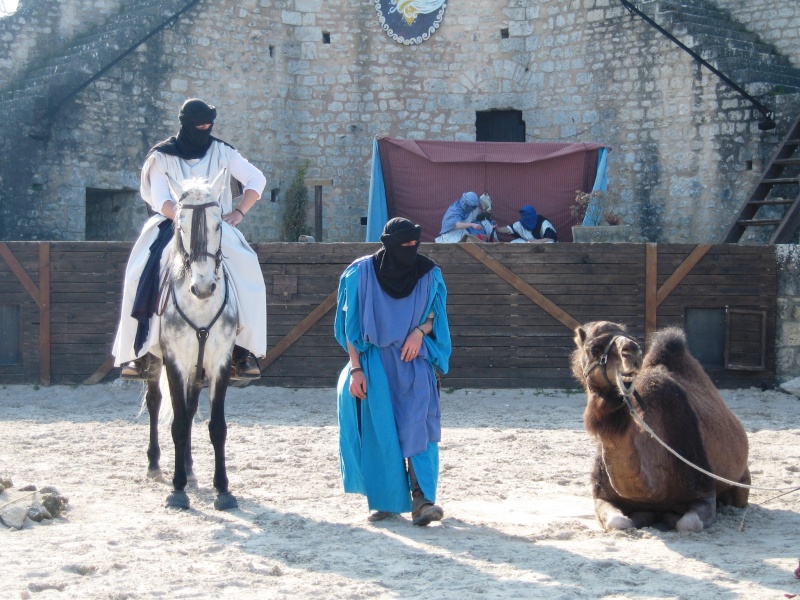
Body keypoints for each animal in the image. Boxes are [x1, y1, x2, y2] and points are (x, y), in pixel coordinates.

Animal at [141, 169, 238, 510]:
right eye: (180, 225)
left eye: (219, 224)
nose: (204, 287)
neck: (200, 306)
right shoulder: (174, 361)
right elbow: (179, 423)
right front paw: (177, 489)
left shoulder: (219, 362)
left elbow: (216, 426)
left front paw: (223, 489)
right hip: (155, 360)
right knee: (156, 402)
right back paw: (155, 464)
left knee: (191, 406)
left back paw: (189, 467)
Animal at [568, 322, 752, 532]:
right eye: (594, 349)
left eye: (632, 338)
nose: (632, 351)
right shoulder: (602, 495)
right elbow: (619, 522)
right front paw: (645, 516)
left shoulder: (703, 493)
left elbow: (687, 524)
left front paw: (669, 516)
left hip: (741, 482)